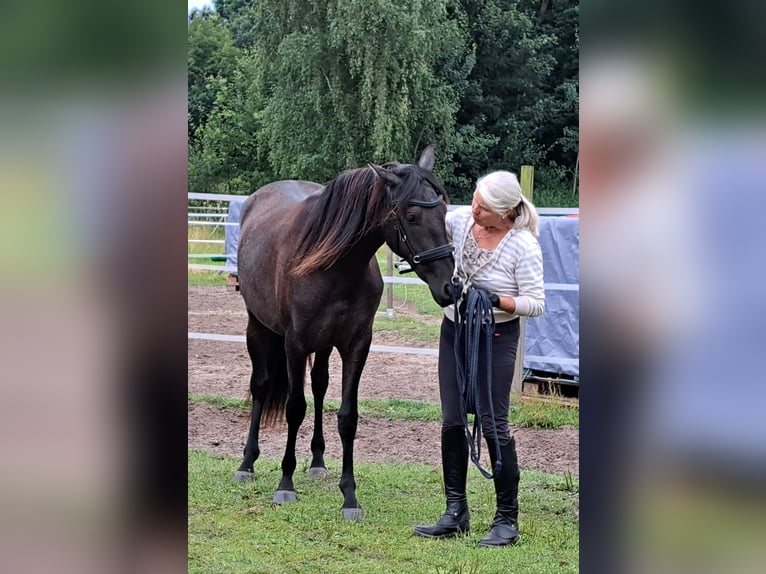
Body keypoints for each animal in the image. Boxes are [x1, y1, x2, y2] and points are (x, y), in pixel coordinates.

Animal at [234, 146, 456, 520]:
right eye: (411, 216)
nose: (450, 287)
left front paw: (349, 496)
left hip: (323, 346)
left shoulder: (356, 345)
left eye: (442, 211)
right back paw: (247, 464)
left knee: (320, 387)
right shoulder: (295, 344)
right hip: (259, 327)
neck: (334, 266)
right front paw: (285, 484)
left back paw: (317, 461)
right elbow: (295, 408)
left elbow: (347, 417)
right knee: (261, 386)